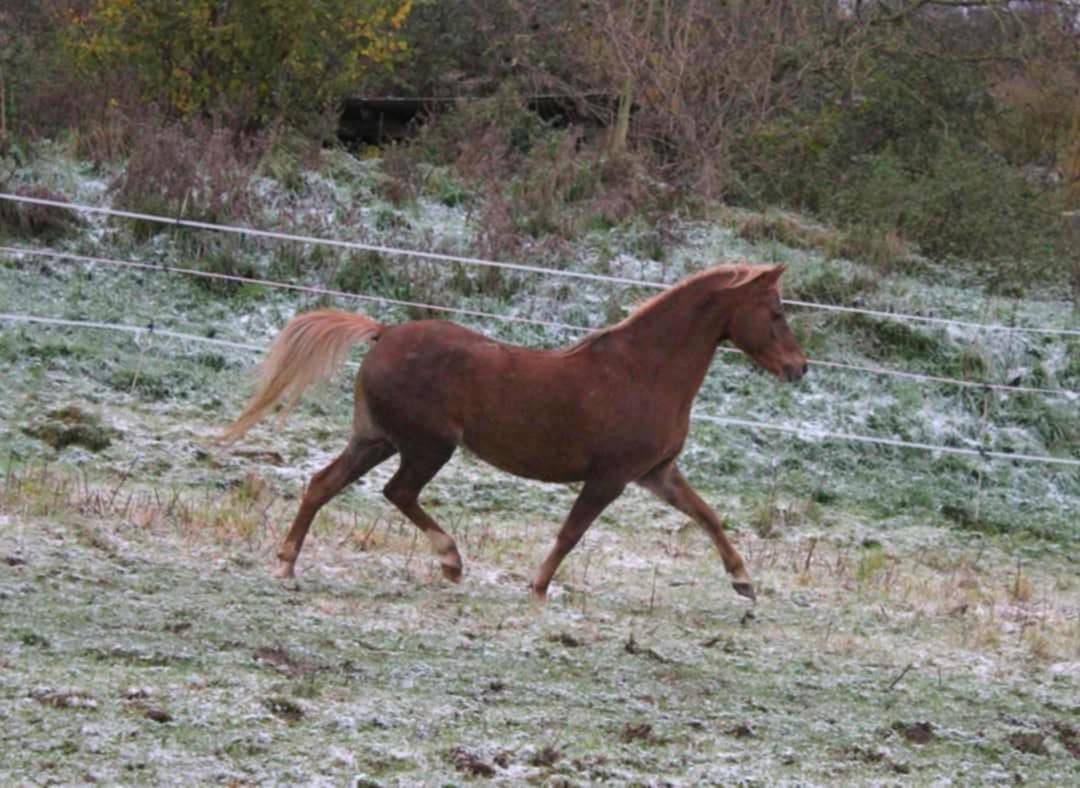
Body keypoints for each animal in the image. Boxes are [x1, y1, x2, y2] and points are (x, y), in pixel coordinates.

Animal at [221, 262, 807, 602]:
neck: (645, 370)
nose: (799, 368)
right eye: (777, 311)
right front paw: (539, 587)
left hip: (376, 439)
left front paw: (744, 583)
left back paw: (287, 565)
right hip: (427, 446)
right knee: (397, 492)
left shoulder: (656, 473)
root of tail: (384, 333)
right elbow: (571, 533)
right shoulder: (611, 477)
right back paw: (451, 561)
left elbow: (707, 515)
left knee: (323, 483)